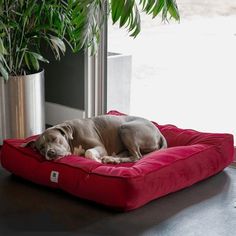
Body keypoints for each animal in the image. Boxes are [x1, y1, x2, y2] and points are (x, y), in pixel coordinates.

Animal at [24, 115, 167, 164]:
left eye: (54, 139)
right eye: (41, 148)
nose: (50, 152)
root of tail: (159, 133)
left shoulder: (100, 147)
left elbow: (88, 152)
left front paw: (96, 160)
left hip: (126, 128)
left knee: (137, 156)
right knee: (131, 154)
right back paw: (112, 159)